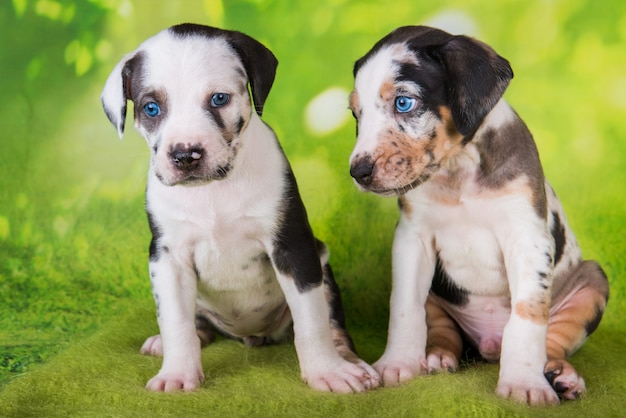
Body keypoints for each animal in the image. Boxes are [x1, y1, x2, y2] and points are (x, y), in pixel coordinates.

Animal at [100, 22, 378, 394]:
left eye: (219, 99)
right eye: (151, 109)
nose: (185, 154)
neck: (213, 191)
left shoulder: (293, 248)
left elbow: (311, 321)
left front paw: (327, 371)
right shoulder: (167, 257)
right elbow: (176, 323)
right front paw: (177, 373)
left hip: (325, 272)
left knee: (332, 324)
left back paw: (347, 359)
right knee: (195, 325)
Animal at [346, 26, 604, 404]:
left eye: (404, 102)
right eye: (356, 114)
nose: (358, 172)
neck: (458, 169)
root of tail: (487, 346)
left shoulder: (527, 238)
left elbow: (527, 316)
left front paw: (523, 383)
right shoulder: (412, 239)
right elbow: (405, 306)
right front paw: (398, 363)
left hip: (592, 281)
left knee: (554, 341)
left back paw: (560, 375)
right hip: (437, 295)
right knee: (442, 331)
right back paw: (437, 357)